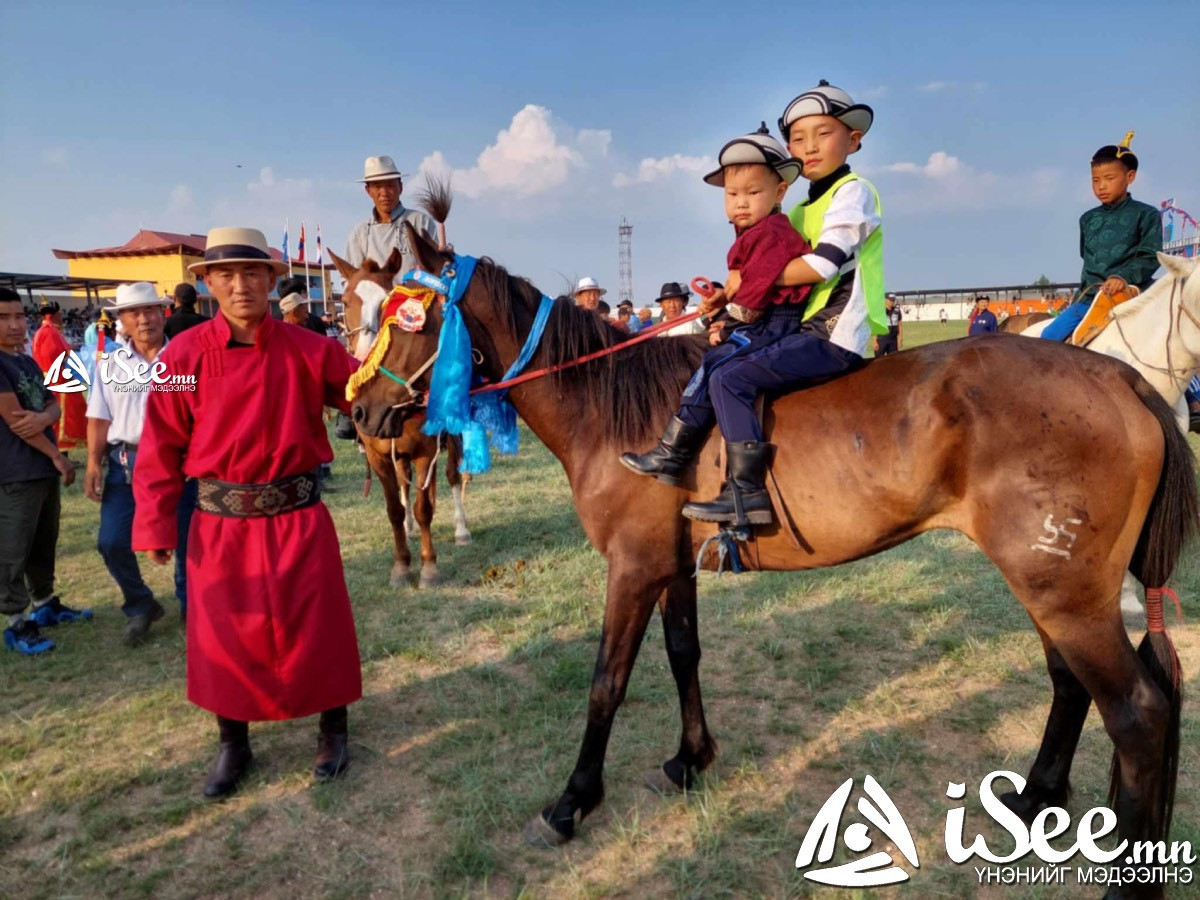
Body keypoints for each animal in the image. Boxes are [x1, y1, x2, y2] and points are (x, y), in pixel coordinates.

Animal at [333, 247, 477, 588]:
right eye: (345, 301)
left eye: (387, 301)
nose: (364, 358)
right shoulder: (378, 456)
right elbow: (394, 509)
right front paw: (400, 565)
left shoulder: (426, 449)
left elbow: (425, 507)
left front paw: (428, 567)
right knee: (405, 484)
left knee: (452, 476)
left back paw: (461, 529)